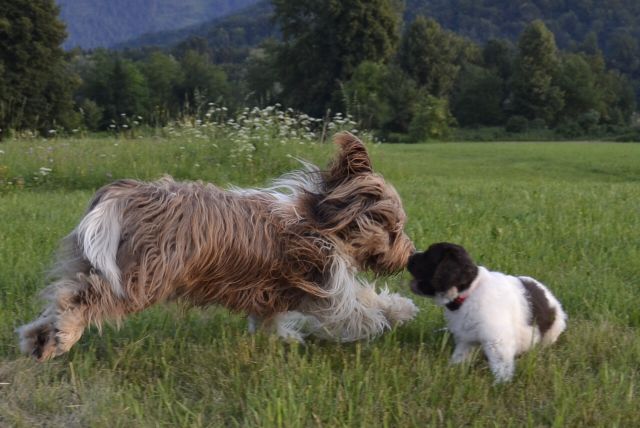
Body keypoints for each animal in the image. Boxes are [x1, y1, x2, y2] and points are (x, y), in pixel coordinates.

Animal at [18, 134, 420, 362]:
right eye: (395, 228)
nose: (412, 255)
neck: (320, 220)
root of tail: (129, 193)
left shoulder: (276, 291)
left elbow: (274, 317)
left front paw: (400, 308)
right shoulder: (325, 285)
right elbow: (359, 307)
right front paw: (389, 315)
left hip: (98, 260)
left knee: (62, 294)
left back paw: (40, 339)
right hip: (141, 276)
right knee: (83, 299)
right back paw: (65, 332)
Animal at [408, 242, 568, 382]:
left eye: (428, 255)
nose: (410, 256)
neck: (470, 291)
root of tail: (550, 296)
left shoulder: (498, 341)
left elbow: (501, 366)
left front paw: (501, 385)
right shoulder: (467, 339)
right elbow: (460, 355)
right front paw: (453, 370)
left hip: (550, 333)